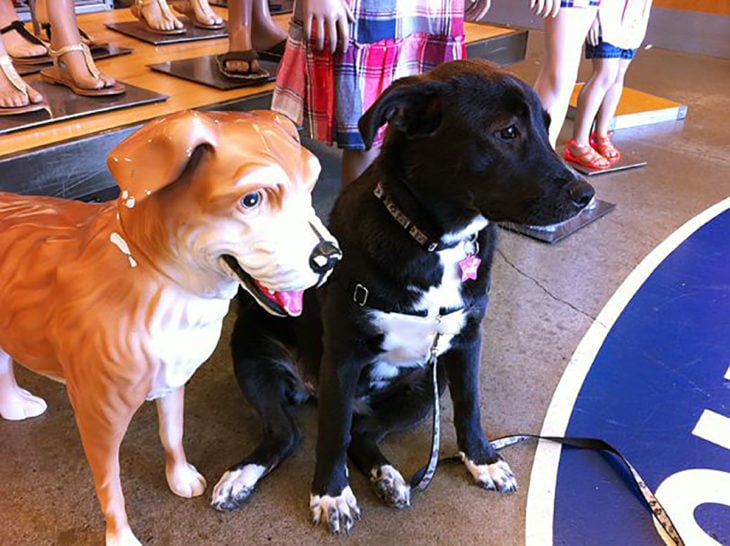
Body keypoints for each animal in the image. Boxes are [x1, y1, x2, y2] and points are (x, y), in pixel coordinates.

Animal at [209, 59, 592, 532]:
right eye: (507, 131)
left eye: (545, 126)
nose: (586, 195)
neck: (436, 243)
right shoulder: (343, 357)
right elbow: (331, 432)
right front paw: (331, 494)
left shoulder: (467, 343)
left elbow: (470, 404)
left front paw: (482, 459)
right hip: (251, 345)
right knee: (291, 433)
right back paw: (242, 476)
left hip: (428, 385)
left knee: (362, 433)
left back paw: (387, 475)